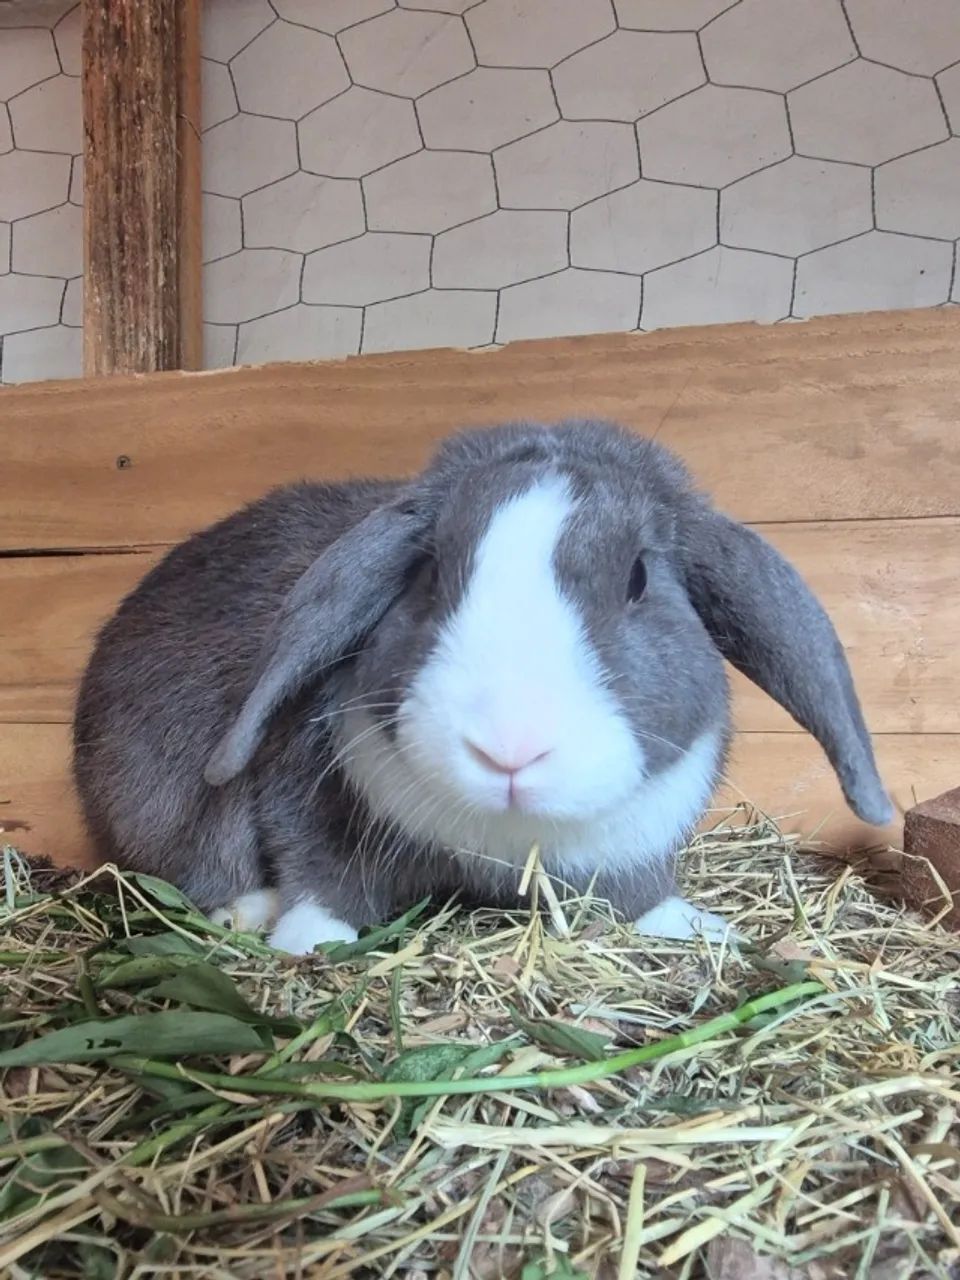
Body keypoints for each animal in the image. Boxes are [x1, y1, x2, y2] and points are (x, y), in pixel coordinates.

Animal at [73, 420, 893, 955]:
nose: (510, 750)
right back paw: (252, 911)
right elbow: (320, 874)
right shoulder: (303, 801)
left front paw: (694, 926)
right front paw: (306, 940)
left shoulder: (633, 848)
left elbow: (639, 895)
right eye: (429, 572)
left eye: (638, 579)